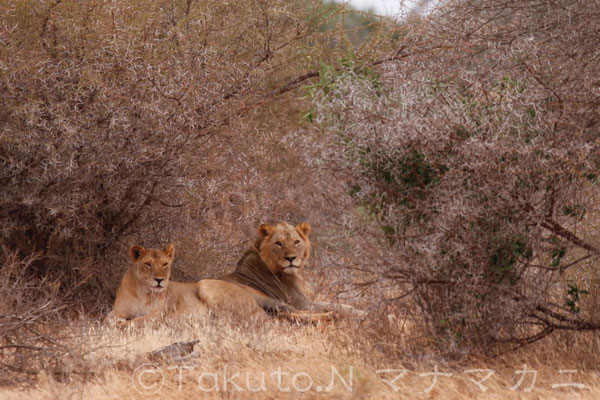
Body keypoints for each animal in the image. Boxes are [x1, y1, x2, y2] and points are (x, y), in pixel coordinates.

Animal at [105, 242, 262, 324]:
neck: (142, 292)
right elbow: (108, 320)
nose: (159, 280)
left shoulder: (157, 314)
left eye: (165, 264)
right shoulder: (117, 311)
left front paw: (124, 323)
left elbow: (137, 321)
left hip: (204, 284)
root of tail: (255, 303)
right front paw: (118, 322)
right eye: (148, 264)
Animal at [218, 222, 364, 318]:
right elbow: (334, 305)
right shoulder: (304, 303)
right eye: (278, 243)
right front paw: (361, 313)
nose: (291, 258)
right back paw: (332, 315)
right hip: (271, 300)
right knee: (297, 313)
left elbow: (333, 302)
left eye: (296, 242)